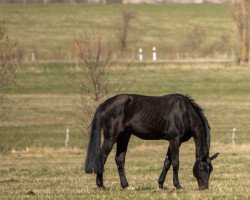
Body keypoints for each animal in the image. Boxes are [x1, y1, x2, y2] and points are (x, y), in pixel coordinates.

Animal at [84, 94, 219, 191]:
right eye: (202, 168)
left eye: (211, 169)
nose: (204, 188)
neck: (185, 113)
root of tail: (105, 104)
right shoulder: (175, 140)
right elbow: (175, 162)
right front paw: (178, 185)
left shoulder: (174, 142)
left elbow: (167, 162)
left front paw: (161, 185)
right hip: (111, 137)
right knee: (102, 157)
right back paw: (101, 185)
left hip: (124, 136)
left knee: (120, 159)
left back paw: (126, 186)